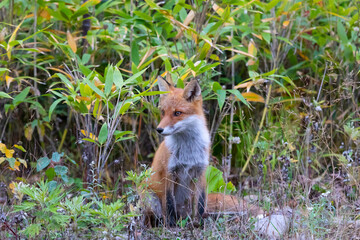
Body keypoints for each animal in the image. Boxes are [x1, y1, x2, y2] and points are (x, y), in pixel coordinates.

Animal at [143, 77, 242, 227]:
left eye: (177, 113)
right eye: (163, 112)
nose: (159, 130)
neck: (188, 150)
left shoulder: (200, 171)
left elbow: (200, 203)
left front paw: (199, 224)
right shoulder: (169, 173)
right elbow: (169, 203)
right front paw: (171, 226)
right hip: (149, 197)